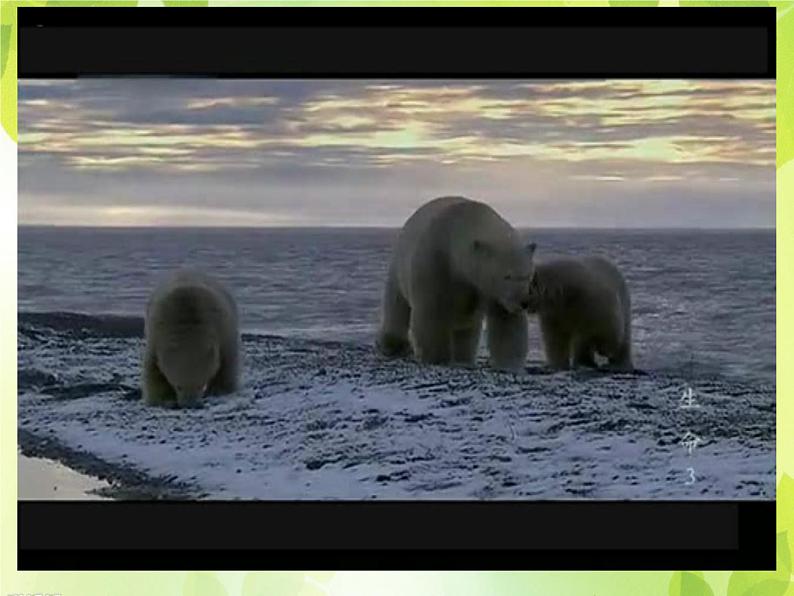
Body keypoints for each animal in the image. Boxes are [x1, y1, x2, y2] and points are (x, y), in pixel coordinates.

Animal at [142, 272, 240, 408]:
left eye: (201, 385)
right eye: (178, 386)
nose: (190, 404)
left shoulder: (224, 332)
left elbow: (227, 366)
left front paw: (221, 390)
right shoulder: (156, 336)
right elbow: (153, 371)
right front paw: (161, 399)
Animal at [374, 198, 536, 370]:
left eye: (528, 275)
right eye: (507, 276)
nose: (524, 302)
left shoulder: (487, 288)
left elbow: (506, 321)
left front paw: (510, 364)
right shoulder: (436, 261)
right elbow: (431, 313)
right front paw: (436, 358)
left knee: (466, 327)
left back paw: (464, 359)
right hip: (400, 266)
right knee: (396, 306)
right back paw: (393, 345)